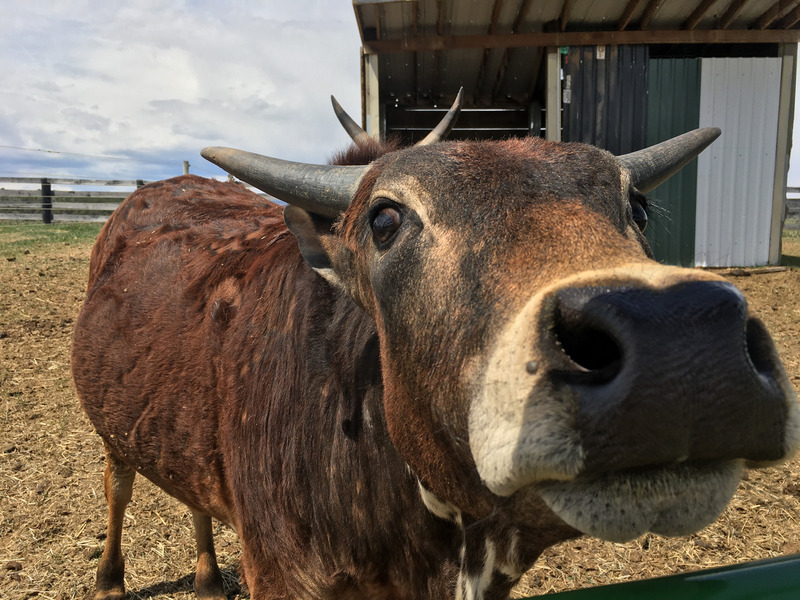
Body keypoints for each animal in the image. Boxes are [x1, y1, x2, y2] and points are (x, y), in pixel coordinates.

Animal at [72, 91, 800, 600]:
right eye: (384, 219)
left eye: (638, 207)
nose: (678, 341)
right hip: (113, 431)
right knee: (118, 485)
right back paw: (110, 578)